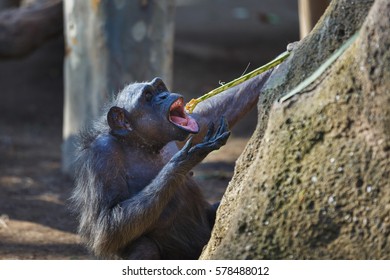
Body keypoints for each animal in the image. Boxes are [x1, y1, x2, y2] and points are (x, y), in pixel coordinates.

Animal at [71, 69, 274, 260]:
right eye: (148, 96)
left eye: (160, 88)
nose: (163, 96)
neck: (141, 143)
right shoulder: (102, 155)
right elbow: (104, 225)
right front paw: (186, 158)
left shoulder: (194, 126)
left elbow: (211, 114)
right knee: (144, 248)